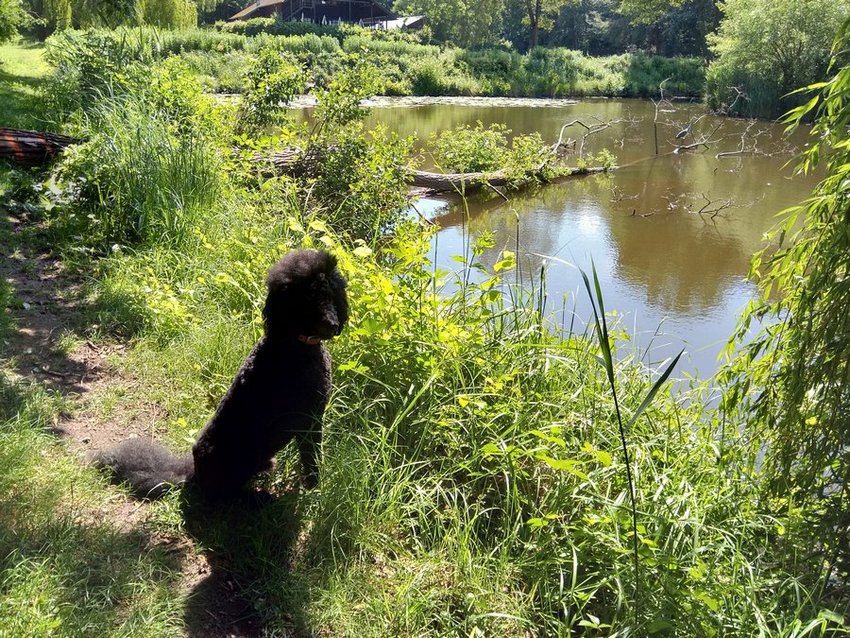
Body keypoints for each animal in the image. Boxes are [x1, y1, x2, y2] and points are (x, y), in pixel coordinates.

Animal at [90, 251, 348, 504]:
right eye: (307, 299)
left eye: (330, 294)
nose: (332, 325)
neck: (294, 344)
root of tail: (193, 474)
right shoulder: (309, 421)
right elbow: (311, 459)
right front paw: (314, 488)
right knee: (225, 495)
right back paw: (259, 499)